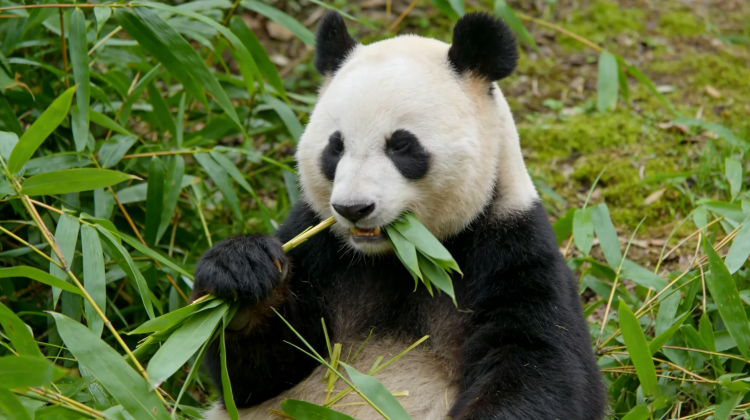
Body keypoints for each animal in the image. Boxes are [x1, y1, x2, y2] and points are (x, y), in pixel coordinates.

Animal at [194, 11, 607, 420]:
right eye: (335, 146)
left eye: (401, 145)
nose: (353, 208)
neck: (403, 257)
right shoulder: (318, 244)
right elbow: (259, 375)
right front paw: (241, 272)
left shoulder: (510, 249)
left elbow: (542, 368)